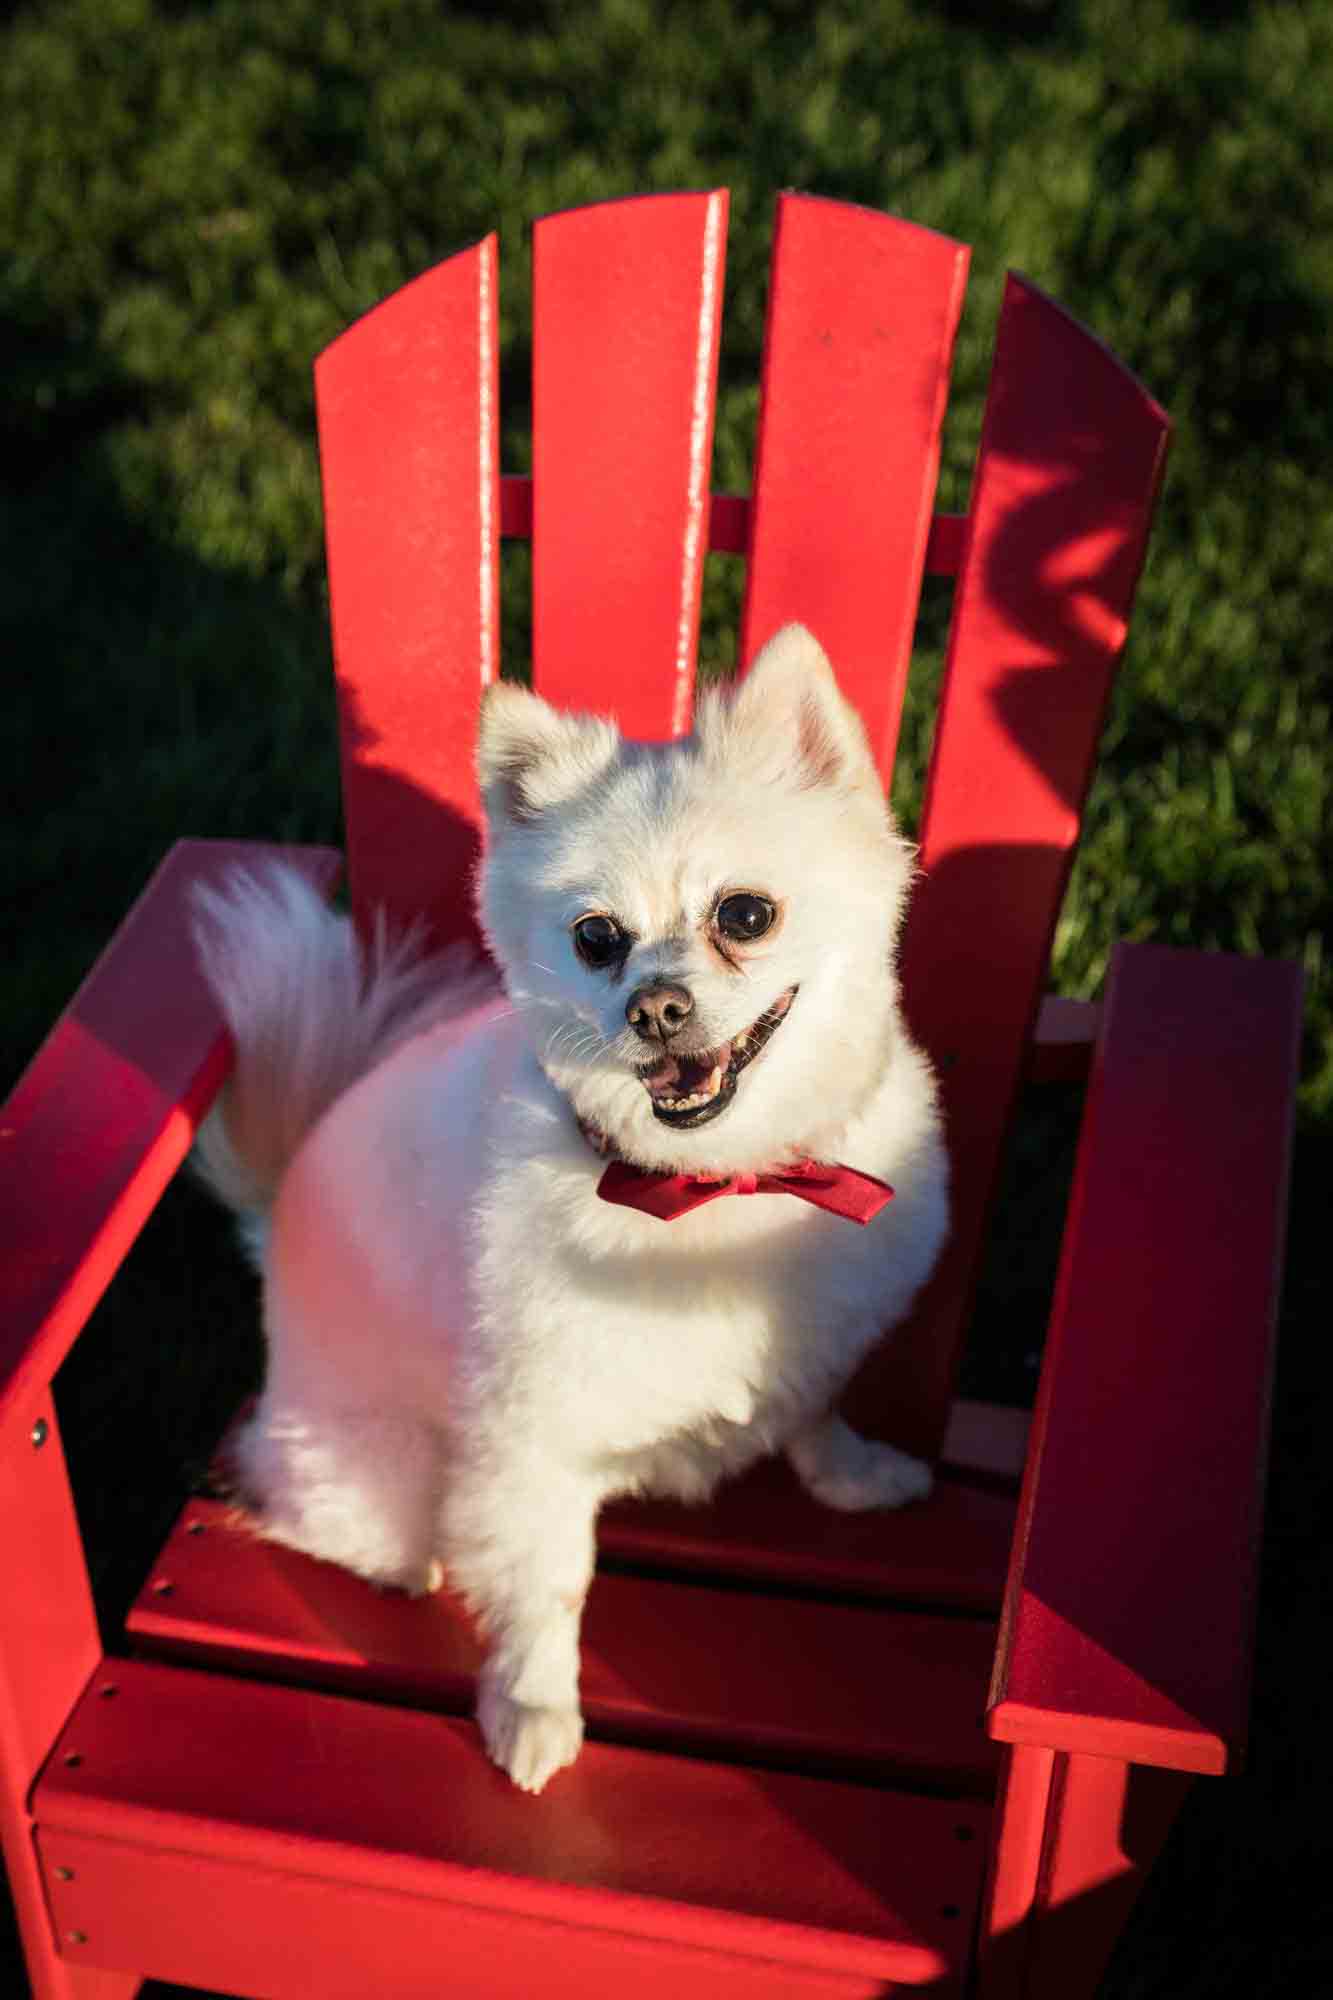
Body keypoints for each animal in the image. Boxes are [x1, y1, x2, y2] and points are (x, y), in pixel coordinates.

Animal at [195, 616, 944, 1792]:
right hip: (377, 1482)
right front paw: (532, 1708)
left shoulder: (818, 1338)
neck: (705, 1187)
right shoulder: (527, 1442)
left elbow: (816, 1409)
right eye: (597, 938)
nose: (657, 1005)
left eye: (746, 914)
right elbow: (547, 1586)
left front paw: (856, 1477)